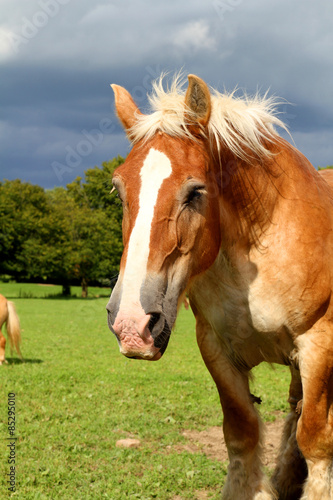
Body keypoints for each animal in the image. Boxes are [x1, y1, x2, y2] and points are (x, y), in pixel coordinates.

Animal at [105, 74, 332, 500]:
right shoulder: (216, 347)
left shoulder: (318, 346)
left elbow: (315, 437)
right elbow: (242, 433)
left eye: (195, 191)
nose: (131, 324)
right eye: (118, 189)